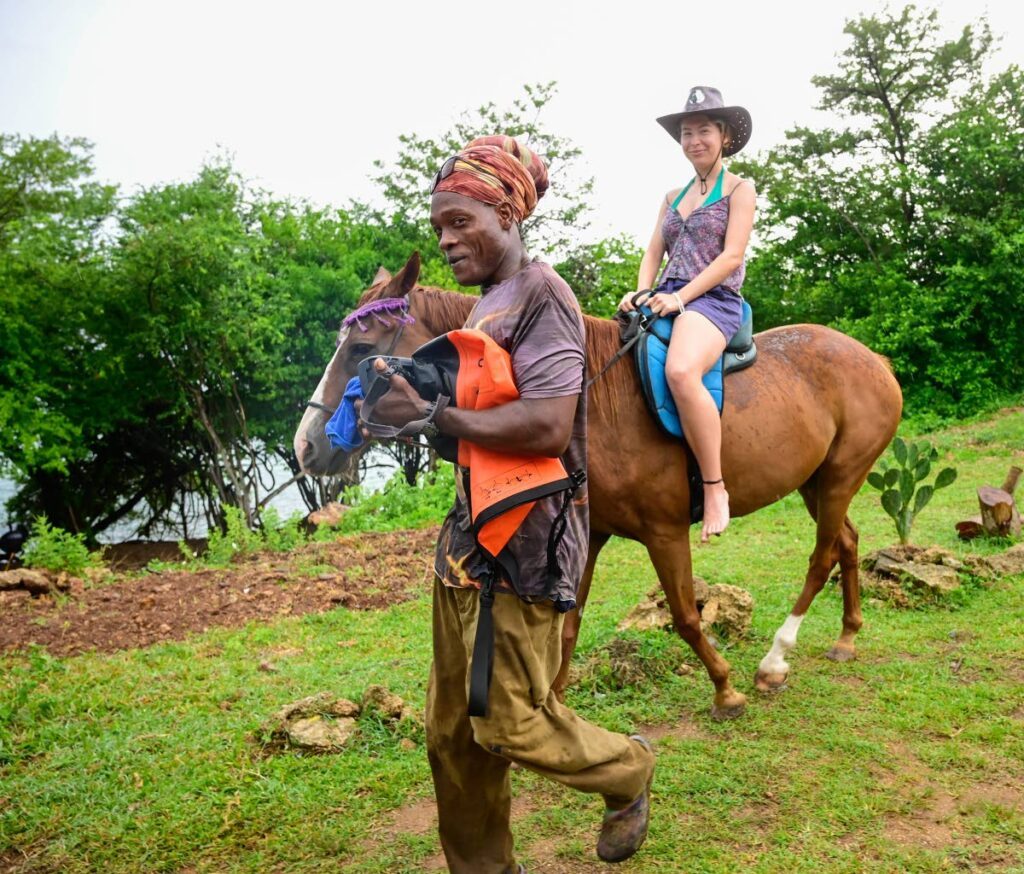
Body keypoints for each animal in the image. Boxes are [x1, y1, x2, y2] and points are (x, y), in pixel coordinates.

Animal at [292, 252, 901, 720]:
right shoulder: (591, 534)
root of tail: (872, 359)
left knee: (822, 556)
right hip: (816, 482)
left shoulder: (664, 532)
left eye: (361, 350)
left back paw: (775, 660)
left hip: (840, 476)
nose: (307, 447)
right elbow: (567, 628)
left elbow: (685, 616)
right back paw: (846, 636)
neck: (592, 402)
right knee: (847, 541)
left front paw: (725, 690)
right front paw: (554, 709)